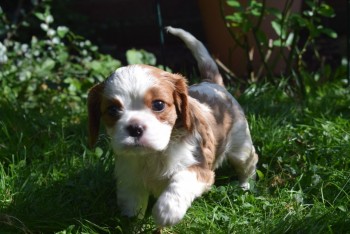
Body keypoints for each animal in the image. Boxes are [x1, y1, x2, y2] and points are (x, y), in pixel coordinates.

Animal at [87, 26, 258, 227]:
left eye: (158, 105)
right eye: (112, 110)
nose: (135, 128)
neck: (152, 155)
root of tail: (213, 84)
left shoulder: (201, 169)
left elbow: (181, 179)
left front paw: (167, 211)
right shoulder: (129, 176)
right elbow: (131, 201)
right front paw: (130, 221)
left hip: (240, 144)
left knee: (248, 163)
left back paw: (245, 186)